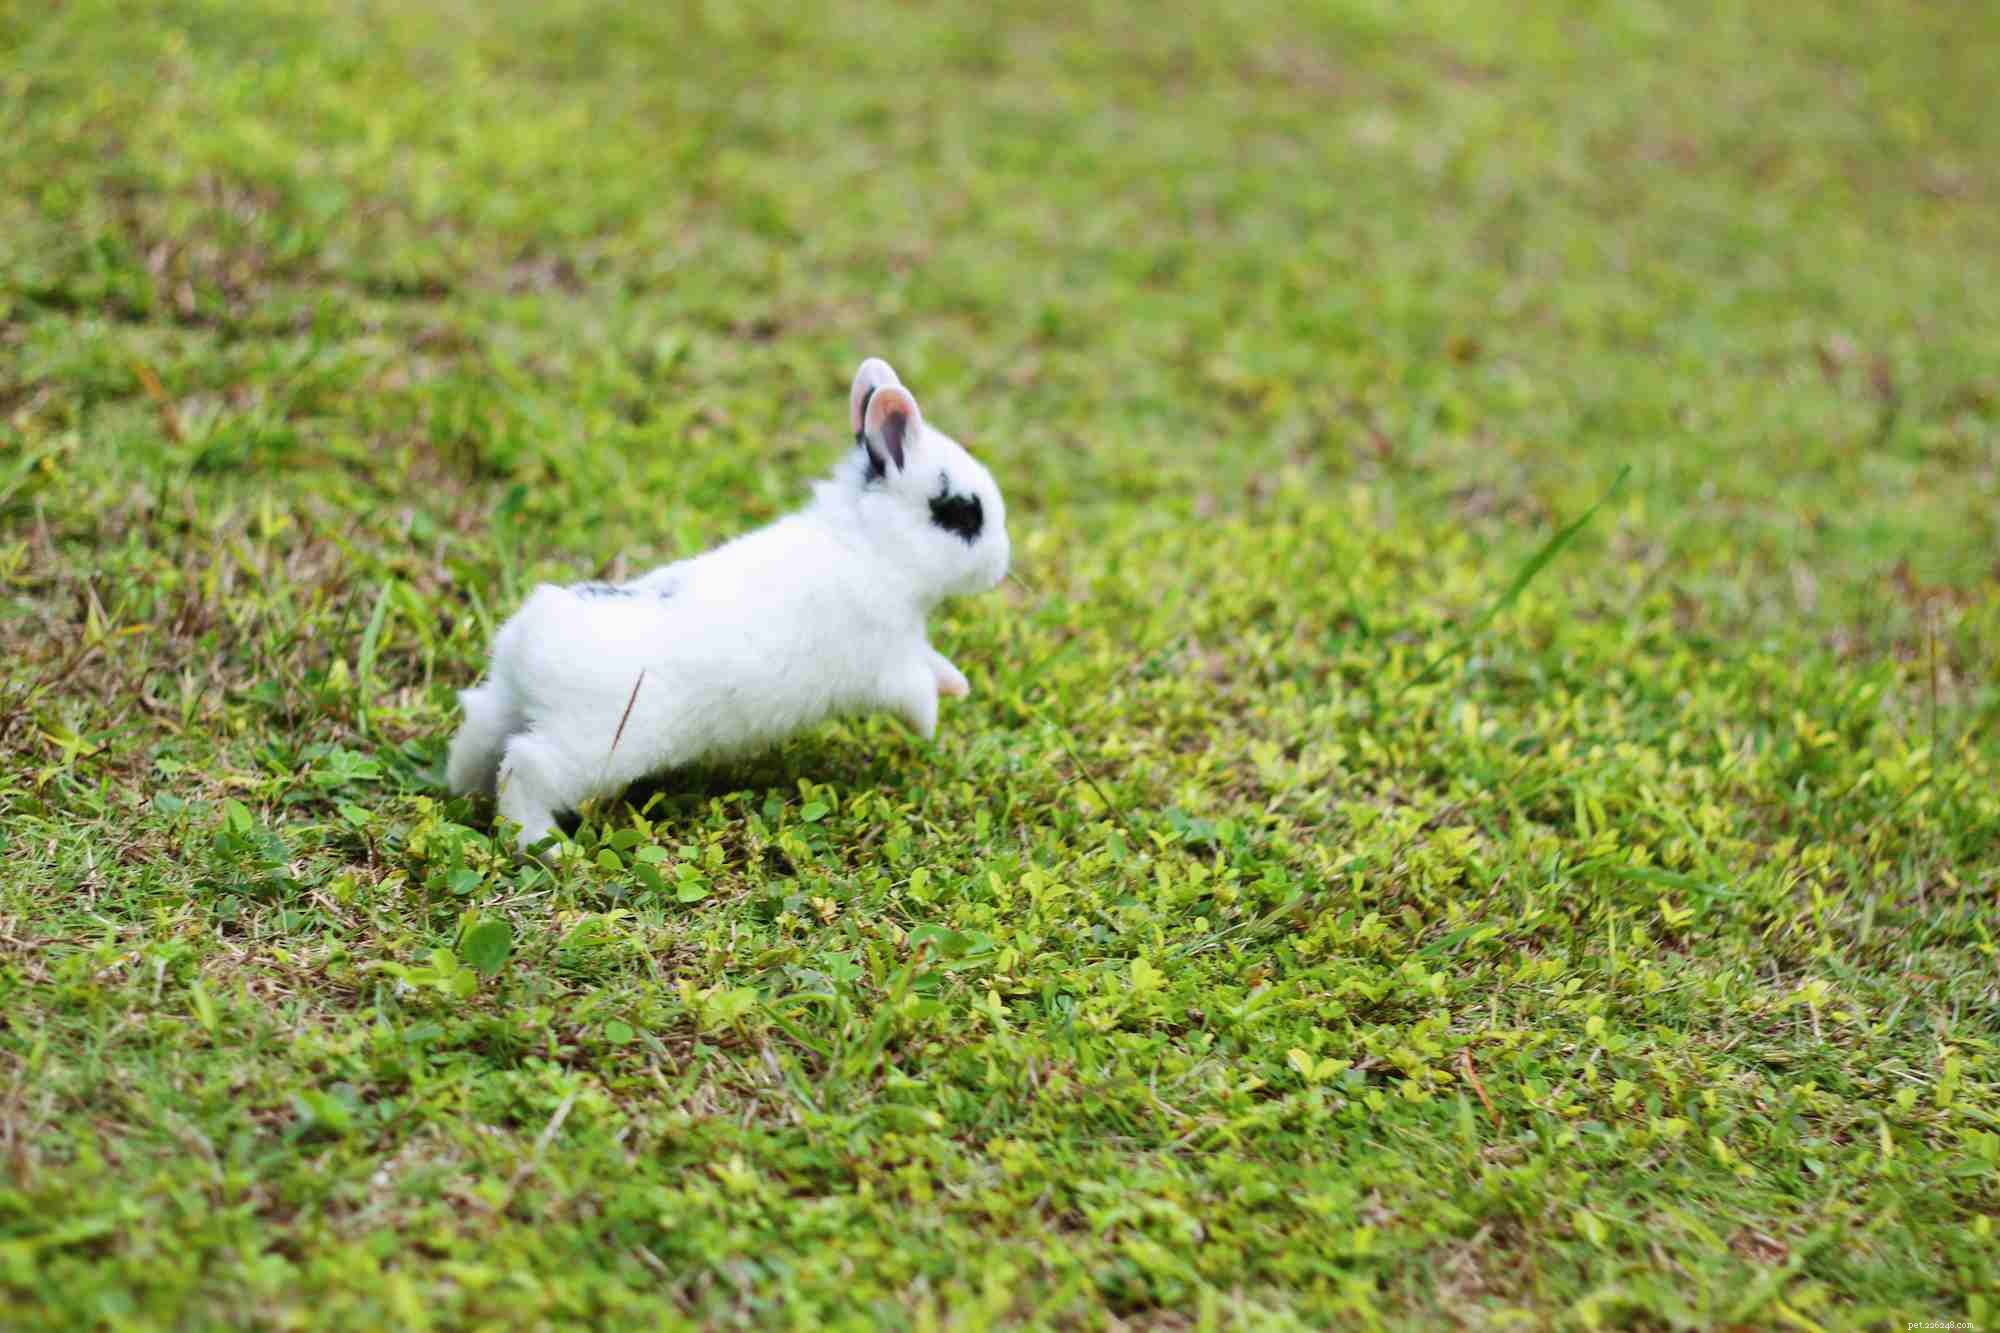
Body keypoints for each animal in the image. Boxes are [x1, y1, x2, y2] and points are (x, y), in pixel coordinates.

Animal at [445, 357, 1010, 857]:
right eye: (964, 514)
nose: (1003, 563)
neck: (870, 546)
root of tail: (528, 640)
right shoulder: (890, 662)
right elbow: (917, 691)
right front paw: (933, 723)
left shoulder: (911, 644)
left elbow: (936, 663)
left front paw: (958, 686)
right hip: (590, 746)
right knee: (524, 767)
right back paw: (545, 846)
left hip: (510, 704)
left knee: (480, 730)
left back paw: (461, 791)